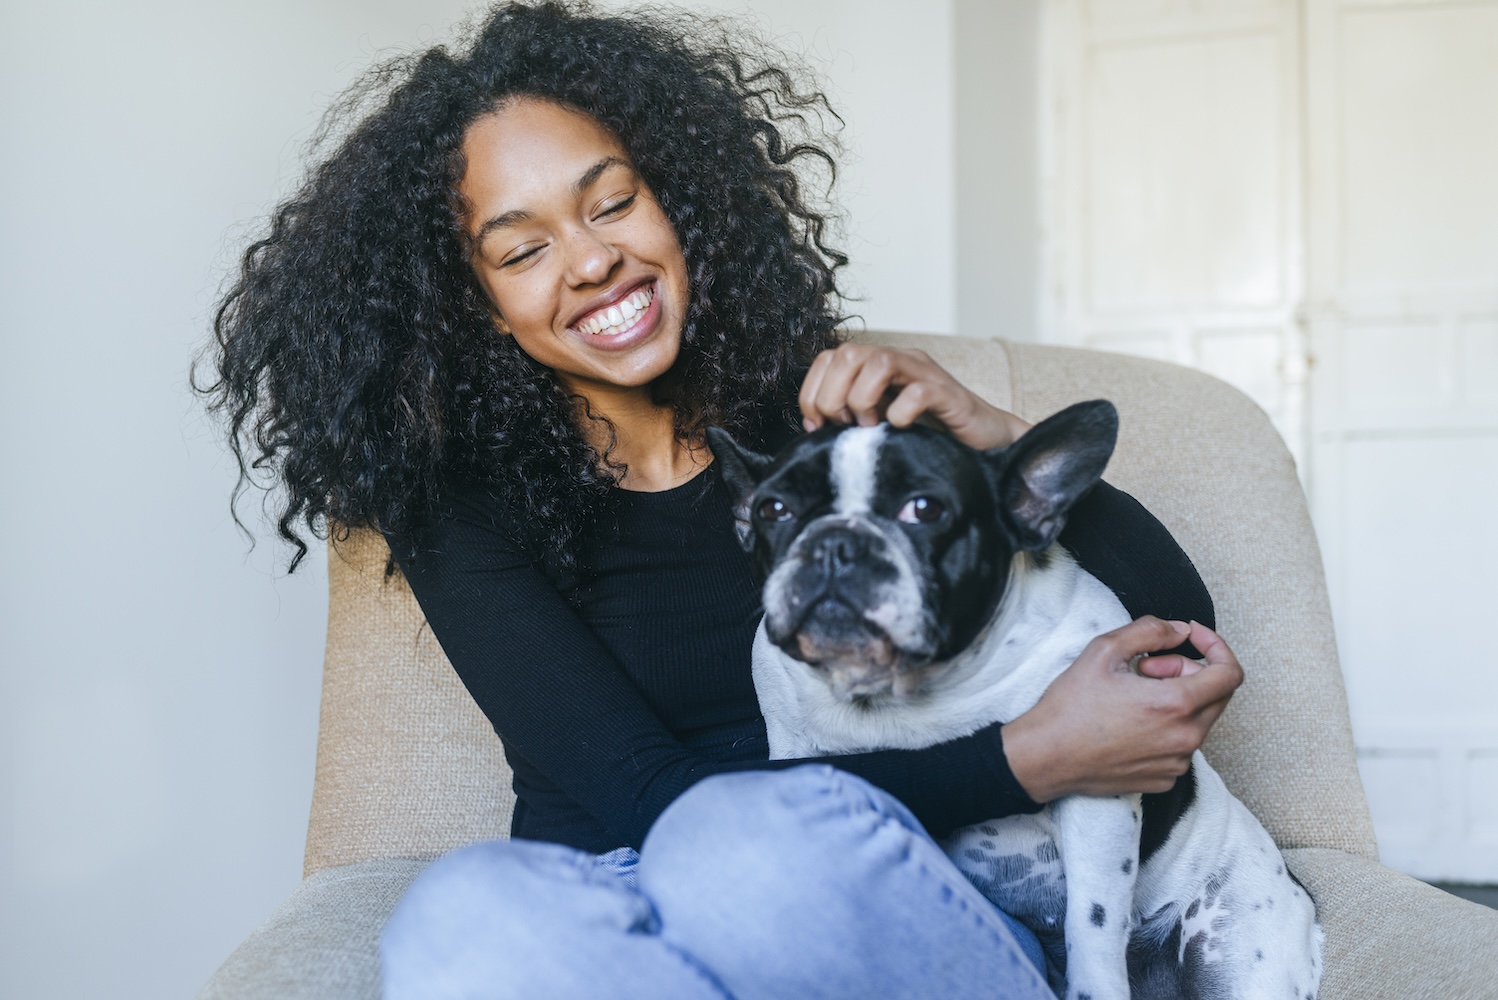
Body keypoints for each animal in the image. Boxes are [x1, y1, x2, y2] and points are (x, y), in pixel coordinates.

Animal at [710, 401, 1324, 999]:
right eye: (772, 510)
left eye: (925, 509)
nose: (836, 542)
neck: (911, 691)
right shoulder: (793, 745)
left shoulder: (1098, 790)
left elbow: (1094, 922)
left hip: (1239, 943)